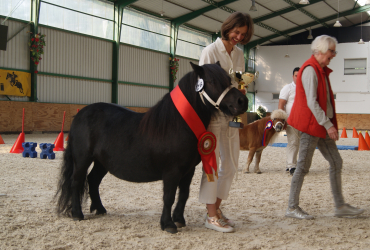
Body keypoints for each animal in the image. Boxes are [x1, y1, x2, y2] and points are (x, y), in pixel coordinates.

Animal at [55, 62, 249, 232]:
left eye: (229, 79)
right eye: (212, 81)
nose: (242, 101)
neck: (178, 124)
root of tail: (80, 114)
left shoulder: (188, 170)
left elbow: (183, 194)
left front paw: (179, 219)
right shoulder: (172, 171)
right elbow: (169, 196)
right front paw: (168, 224)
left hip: (102, 162)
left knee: (93, 180)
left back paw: (100, 209)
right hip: (82, 159)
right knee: (76, 181)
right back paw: (77, 214)